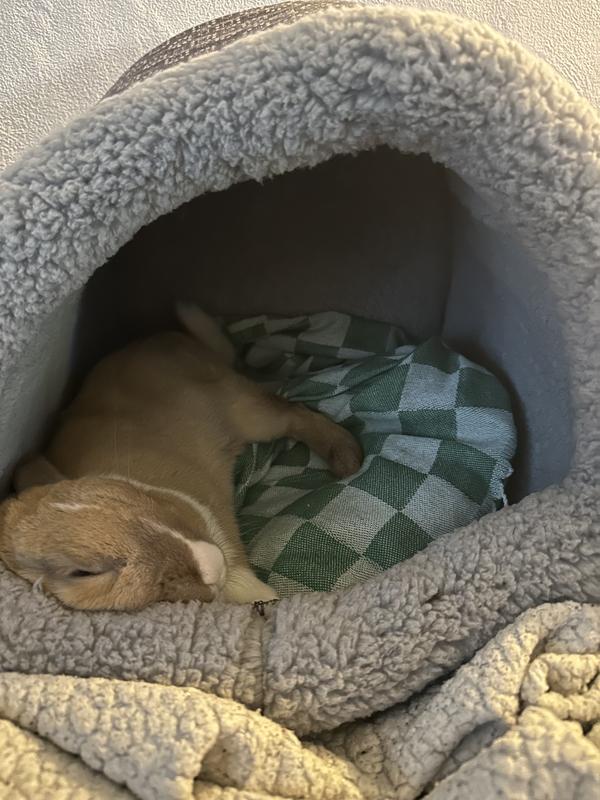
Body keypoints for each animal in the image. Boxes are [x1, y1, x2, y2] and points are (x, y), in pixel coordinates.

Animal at [0, 306, 362, 611]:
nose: (213, 564)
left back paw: (348, 457)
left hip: (251, 414)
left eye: (129, 496)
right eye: (83, 573)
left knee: (295, 413)